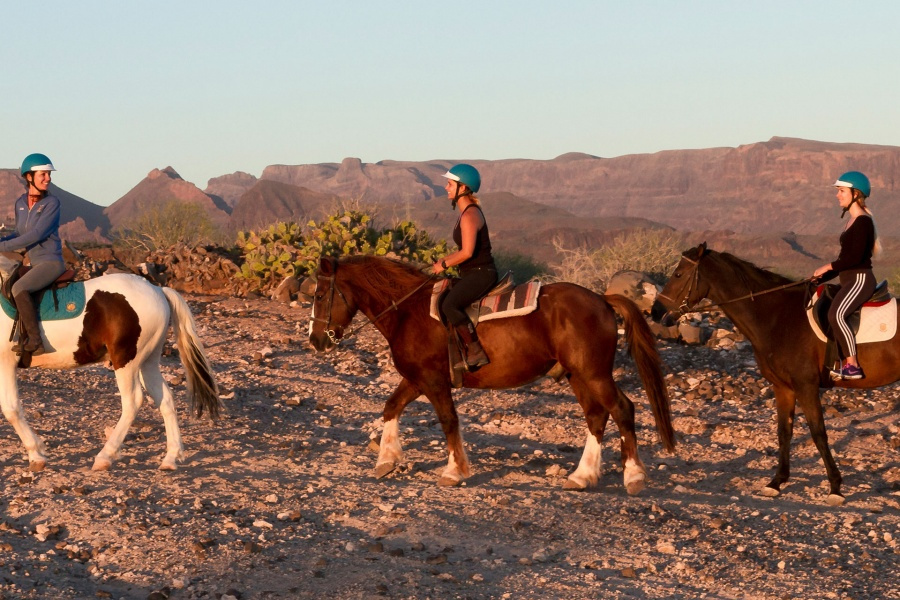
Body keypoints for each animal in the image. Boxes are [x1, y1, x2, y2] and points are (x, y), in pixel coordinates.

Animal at [1, 272, 220, 474]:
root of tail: (157, 290)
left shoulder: (6, 363)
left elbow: (11, 409)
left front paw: (36, 454)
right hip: (147, 362)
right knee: (165, 400)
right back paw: (170, 458)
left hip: (125, 361)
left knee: (133, 402)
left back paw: (105, 456)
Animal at [310, 253, 676, 492]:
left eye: (319, 294)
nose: (315, 341)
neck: (408, 313)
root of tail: (601, 299)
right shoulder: (416, 379)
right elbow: (391, 408)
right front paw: (386, 460)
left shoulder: (433, 382)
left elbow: (448, 421)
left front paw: (454, 470)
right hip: (578, 376)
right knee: (596, 416)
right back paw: (582, 476)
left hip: (594, 374)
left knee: (622, 409)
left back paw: (633, 477)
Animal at [652, 241, 900, 504]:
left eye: (678, 274)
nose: (655, 311)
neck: (776, 317)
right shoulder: (783, 387)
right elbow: (784, 432)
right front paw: (776, 482)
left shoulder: (806, 386)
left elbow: (818, 434)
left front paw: (835, 487)